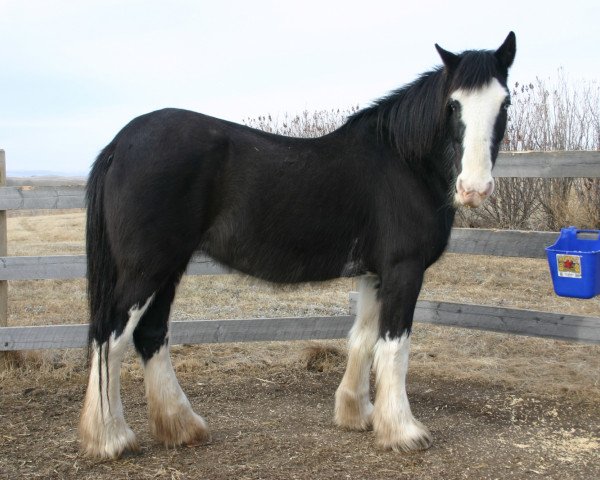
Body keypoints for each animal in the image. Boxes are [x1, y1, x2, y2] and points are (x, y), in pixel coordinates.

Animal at [79, 32, 516, 458]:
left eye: (504, 102)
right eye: (453, 105)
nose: (474, 189)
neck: (402, 163)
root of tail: (120, 144)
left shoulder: (375, 274)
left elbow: (363, 338)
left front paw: (358, 415)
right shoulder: (403, 270)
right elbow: (395, 347)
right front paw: (403, 431)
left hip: (168, 268)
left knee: (150, 336)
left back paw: (181, 427)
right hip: (146, 269)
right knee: (111, 338)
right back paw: (111, 438)